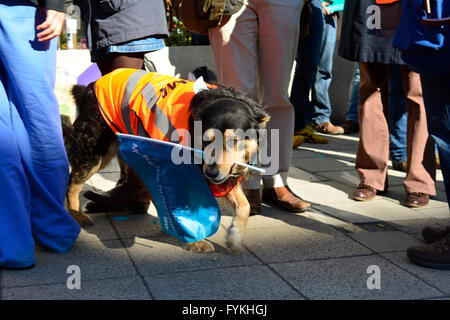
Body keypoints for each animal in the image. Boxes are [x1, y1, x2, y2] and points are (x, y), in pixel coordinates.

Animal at [65, 71, 268, 254]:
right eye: (206, 141)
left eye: (234, 141)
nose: (211, 173)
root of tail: (91, 86)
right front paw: (194, 241)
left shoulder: (222, 175)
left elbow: (244, 205)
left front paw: (235, 236)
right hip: (95, 152)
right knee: (72, 183)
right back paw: (77, 216)